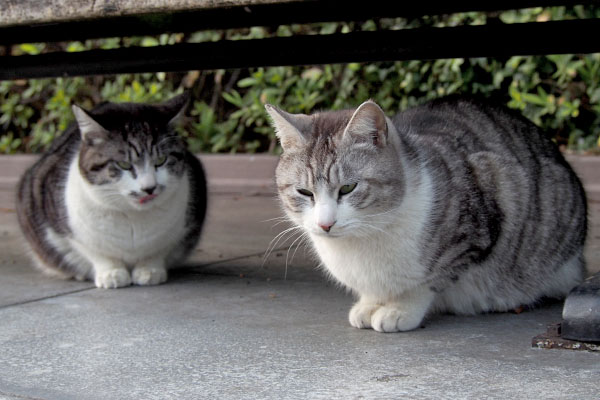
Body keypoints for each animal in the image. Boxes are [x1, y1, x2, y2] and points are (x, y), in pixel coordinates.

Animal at [17, 92, 206, 290]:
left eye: (161, 160)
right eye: (124, 164)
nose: (149, 188)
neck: (133, 218)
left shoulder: (181, 229)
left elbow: (157, 251)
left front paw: (150, 271)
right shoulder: (70, 231)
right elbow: (97, 253)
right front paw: (112, 273)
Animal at [266, 96, 584, 332]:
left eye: (347, 188)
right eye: (305, 192)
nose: (325, 224)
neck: (364, 240)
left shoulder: (470, 234)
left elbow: (427, 282)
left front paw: (400, 309)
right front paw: (369, 304)